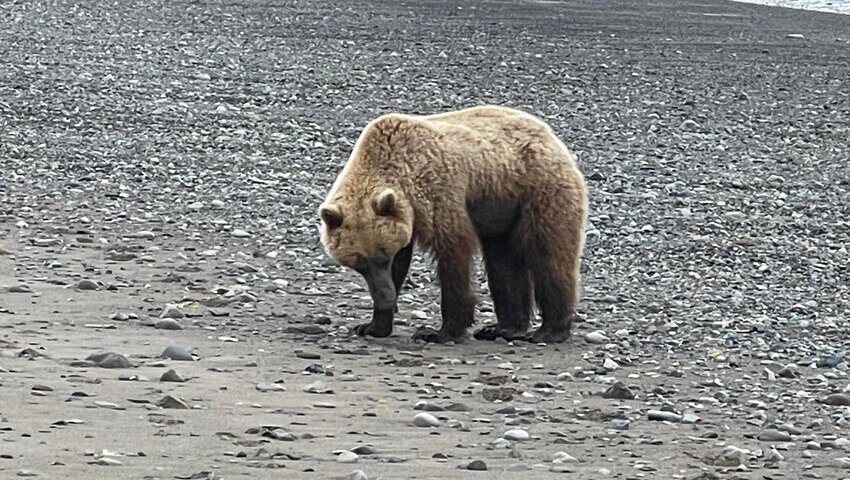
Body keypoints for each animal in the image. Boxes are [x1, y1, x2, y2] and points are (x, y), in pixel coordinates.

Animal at [314, 105, 588, 344]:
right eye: (359, 264)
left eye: (383, 257)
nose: (385, 298)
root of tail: (551, 136)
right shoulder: (403, 219)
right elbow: (404, 260)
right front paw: (371, 325)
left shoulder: (437, 192)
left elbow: (453, 253)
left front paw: (439, 332)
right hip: (502, 211)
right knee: (503, 263)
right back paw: (503, 328)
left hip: (539, 191)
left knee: (548, 256)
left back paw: (549, 330)